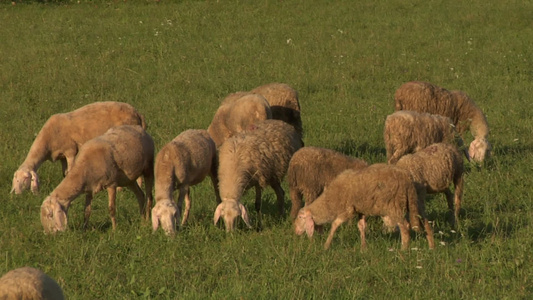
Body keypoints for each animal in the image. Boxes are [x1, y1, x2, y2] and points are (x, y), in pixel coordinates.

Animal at [294, 163, 434, 250]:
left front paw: (326, 245)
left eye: (300, 217)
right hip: (415, 202)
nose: (295, 231)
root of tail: (407, 180)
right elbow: (361, 226)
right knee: (426, 223)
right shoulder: (360, 210)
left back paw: (404, 250)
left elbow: (335, 224)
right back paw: (431, 247)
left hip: (395, 206)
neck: (331, 200)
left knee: (404, 226)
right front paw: (363, 248)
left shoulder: (348, 209)